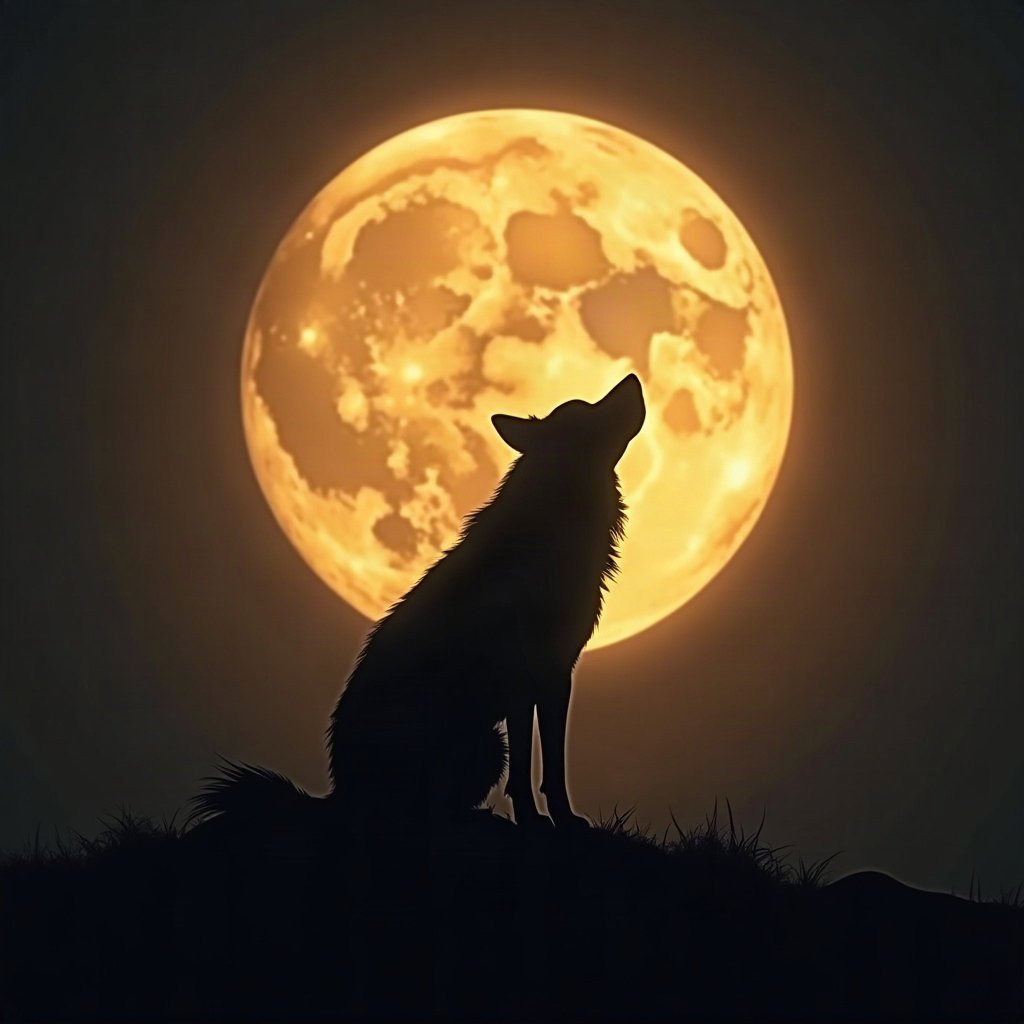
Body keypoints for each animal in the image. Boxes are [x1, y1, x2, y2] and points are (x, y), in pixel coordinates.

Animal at [195, 373, 645, 830]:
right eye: (590, 411)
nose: (632, 378)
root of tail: (339, 794)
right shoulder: (535, 676)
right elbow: (540, 766)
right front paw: (548, 820)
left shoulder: (548, 676)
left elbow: (540, 764)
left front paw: (546, 818)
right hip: (475, 739)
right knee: (424, 810)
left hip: (484, 742)